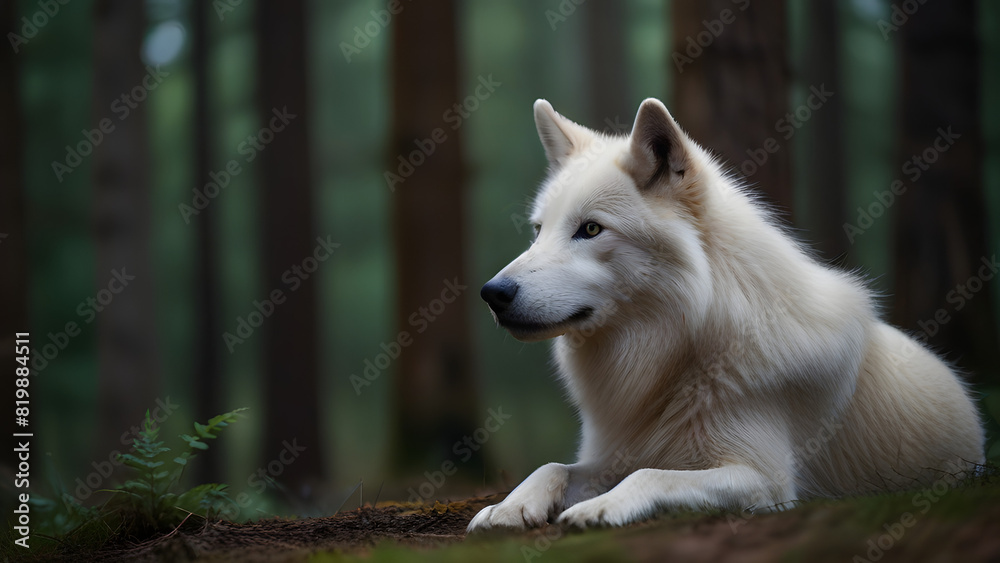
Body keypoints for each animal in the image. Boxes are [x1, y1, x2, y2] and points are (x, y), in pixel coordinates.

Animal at [468, 98, 984, 531]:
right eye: (538, 231)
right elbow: (551, 466)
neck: (677, 357)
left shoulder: (765, 479)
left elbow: (651, 475)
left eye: (591, 229)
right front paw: (508, 507)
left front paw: (600, 507)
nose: (492, 293)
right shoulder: (614, 452)